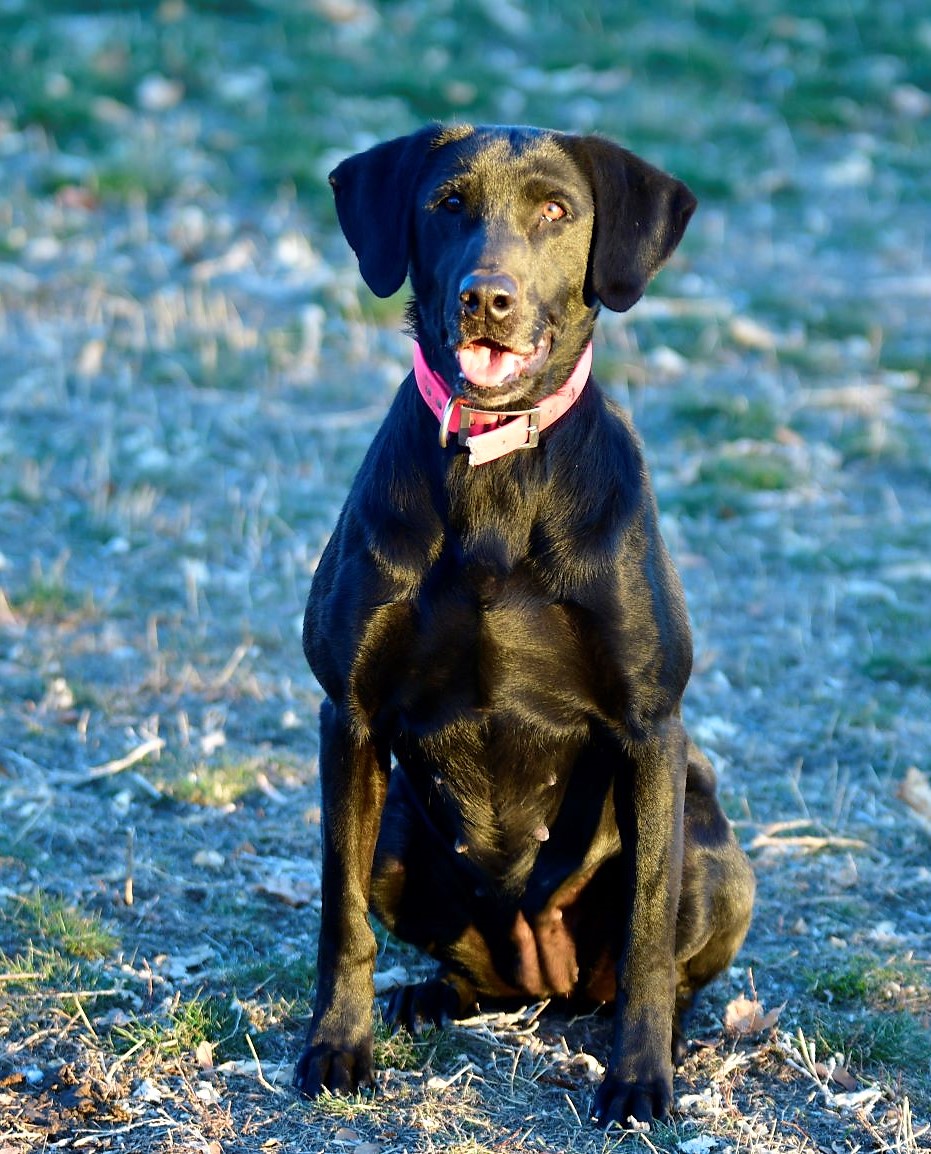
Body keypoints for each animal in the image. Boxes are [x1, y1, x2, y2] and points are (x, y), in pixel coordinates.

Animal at [295, 124, 752, 1126]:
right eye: (446, 204)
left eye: (554, 209)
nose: (486, 298)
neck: (496, 463)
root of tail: (549, 982)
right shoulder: (349, 719)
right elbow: (340, 918)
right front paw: (336, 1048)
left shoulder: (650, 731)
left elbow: (648, 929)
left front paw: (638, 1082)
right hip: (400, 839)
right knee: (468, 973)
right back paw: (430, 997)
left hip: (714, 851)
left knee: (659, 968)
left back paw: (667, 1037)